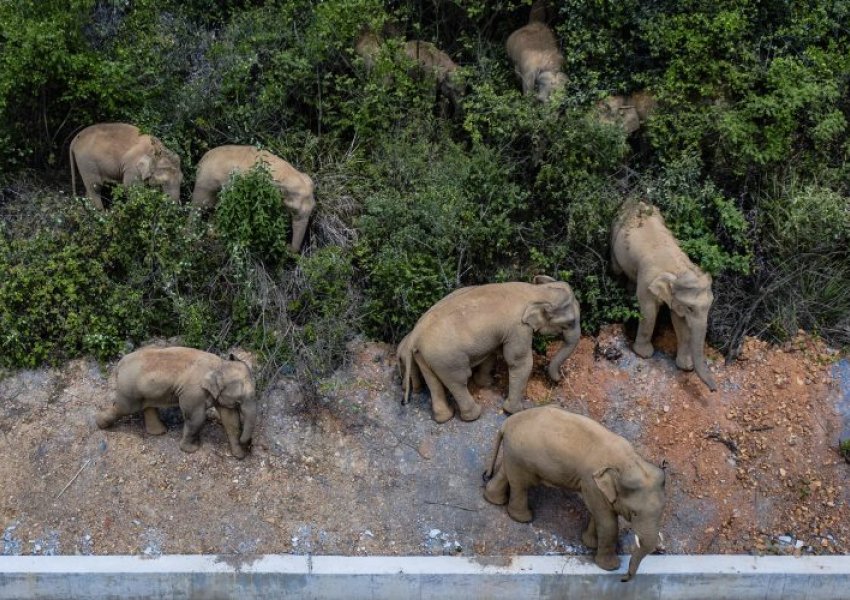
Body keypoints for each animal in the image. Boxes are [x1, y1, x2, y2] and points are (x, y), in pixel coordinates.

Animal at [95, 346, 255, 460]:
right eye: (240, 399)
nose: (248, 445)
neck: (219, 364)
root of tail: (119, 364)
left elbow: (230, 420)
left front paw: (239, 455)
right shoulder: (193, 392)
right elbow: (196, 418)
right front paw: (191, 450)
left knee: (147, 406)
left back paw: (160, 432)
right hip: (129, 389)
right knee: (123, 408)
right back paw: (100, 424)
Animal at [396, 276, 580, 422]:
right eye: (570, 322)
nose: (559, 380)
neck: (536, 291)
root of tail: (415, 335)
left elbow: (492, 353)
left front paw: (486, 384)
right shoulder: (518, 328)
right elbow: (519, 362)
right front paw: (515, 411)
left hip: (425, 357)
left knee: (433, 382)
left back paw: (444, 418)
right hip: (447, 359)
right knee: (459, 381)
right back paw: (474, 415)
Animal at [608, 199, 716, 392]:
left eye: (710, 305)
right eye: (690, 308)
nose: (713, 390)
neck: (678, 269)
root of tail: (633, 200)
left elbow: (679, 321)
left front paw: (685, 366)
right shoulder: (647, 280)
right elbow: (649, 311)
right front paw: (644, 354)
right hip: (614, 235)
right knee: (616, 269)